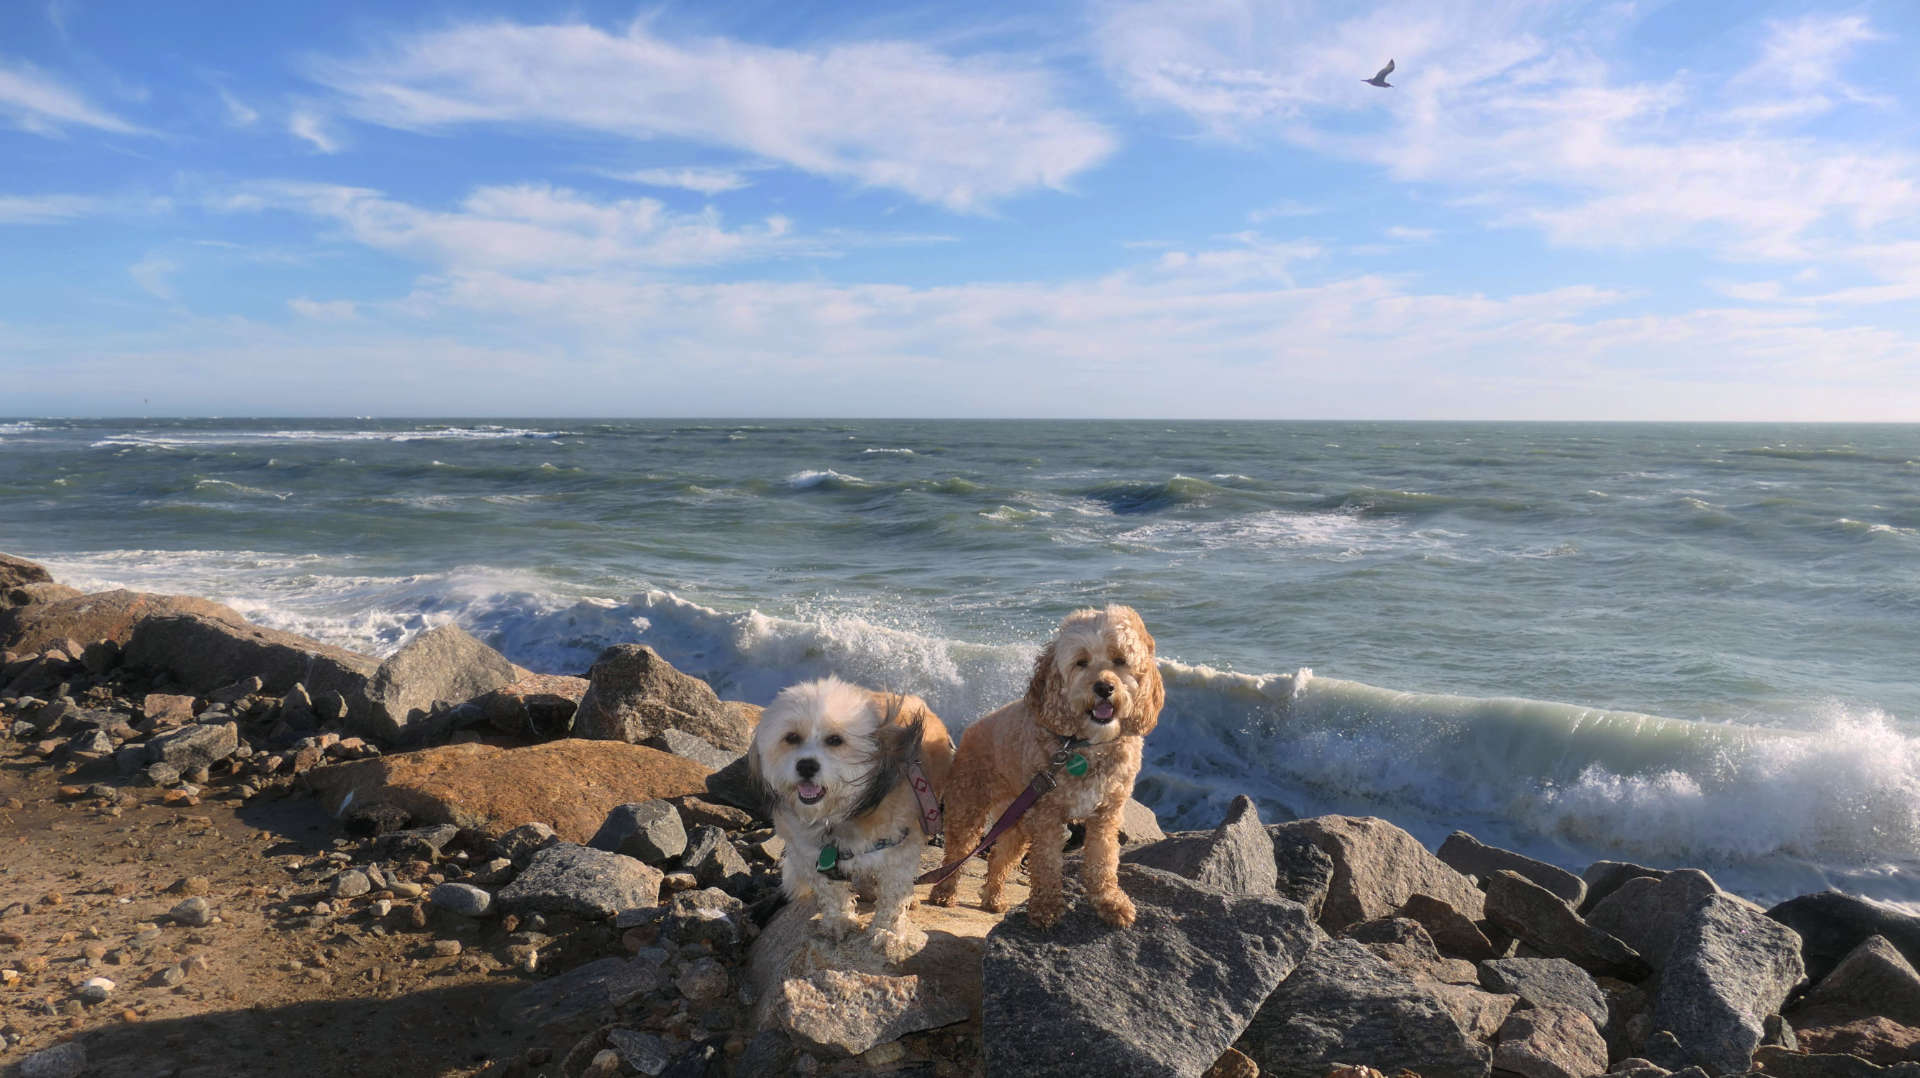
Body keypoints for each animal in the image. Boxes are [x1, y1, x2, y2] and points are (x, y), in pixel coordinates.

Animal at [925, 607, 1159, 926]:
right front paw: (1046, 907)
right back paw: (944, 892)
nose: (1104, 687)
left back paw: (993, 899)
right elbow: (1047, 862)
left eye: (1120, 660)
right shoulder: (1048, 815)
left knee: (1000, 857)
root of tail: (972, 728)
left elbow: (1104, 860)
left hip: (1017, 820)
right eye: (1081, 662)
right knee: (957, 854)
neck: (1082, 746)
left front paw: (1110, 902)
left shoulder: (1106, 814)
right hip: (969, 805)